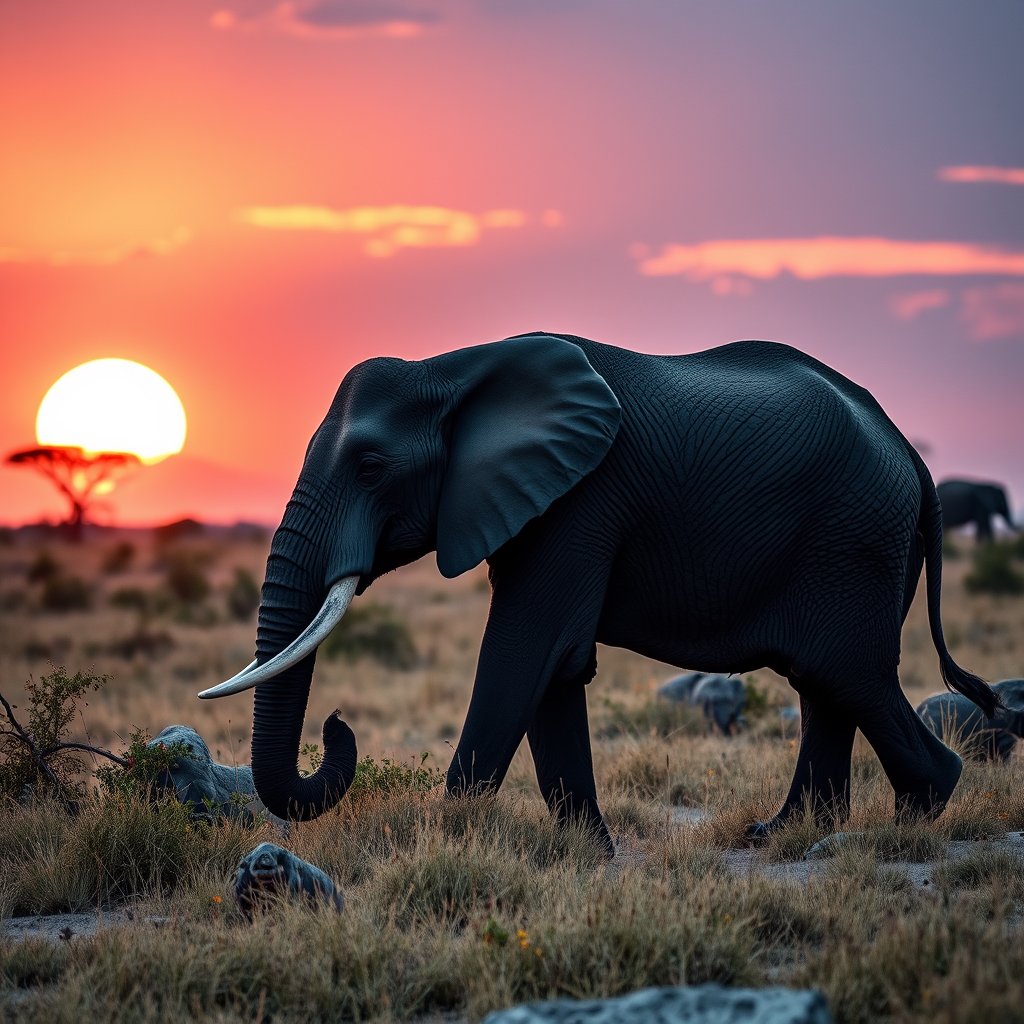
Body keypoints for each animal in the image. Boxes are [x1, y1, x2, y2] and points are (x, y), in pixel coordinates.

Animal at [199, 331, 996, 852]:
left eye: (370, 466)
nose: (337, 724)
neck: (453, 370)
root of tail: (909, 454)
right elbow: (553, 668)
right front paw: (588, 854)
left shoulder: (583, 501)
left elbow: (526, 652)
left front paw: (444, 840)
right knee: (824, 682)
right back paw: (782, 833)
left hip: (853, 539)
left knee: (847, 672)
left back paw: (918, 815)